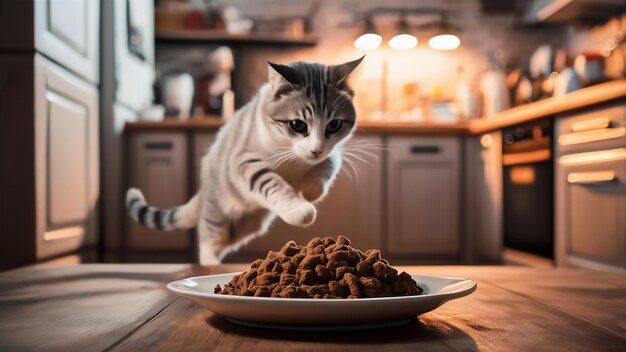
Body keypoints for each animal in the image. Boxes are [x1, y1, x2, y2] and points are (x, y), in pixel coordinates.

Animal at [125, 55, 364, 264]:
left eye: (334, 125)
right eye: (298, 125)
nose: (315, 150)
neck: (294, 157)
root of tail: (204, 190)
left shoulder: (334, 151)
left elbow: (329, 165)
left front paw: (311, 190)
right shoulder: (245, 161)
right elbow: (273, 184)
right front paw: (300, 208)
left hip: (245, 228)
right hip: (218, 214)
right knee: (208, 240)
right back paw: (209, 266)